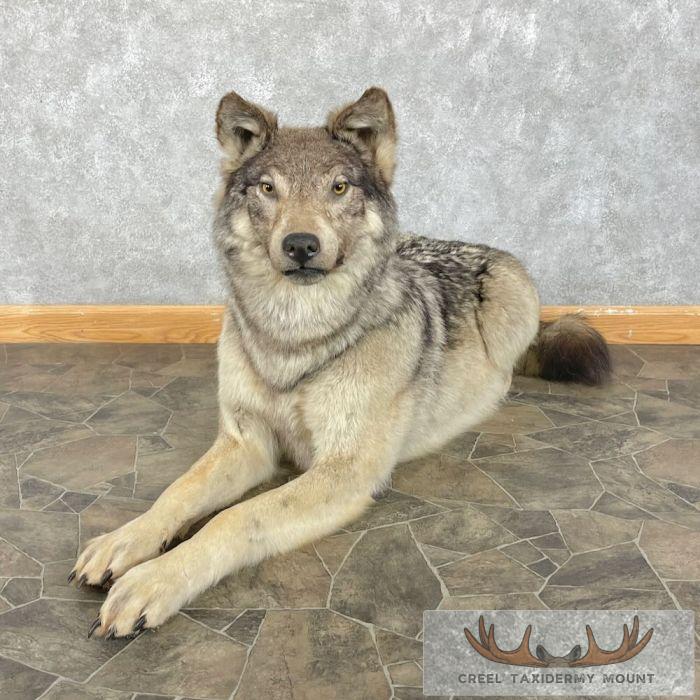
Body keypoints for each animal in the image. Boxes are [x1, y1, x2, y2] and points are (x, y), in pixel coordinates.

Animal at [70, 88, 610, 638]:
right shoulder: (247, 443)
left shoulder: (344, 470)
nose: (301, 245)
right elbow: (176, 494)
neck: (295, 341)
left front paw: (152, 581)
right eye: (268, 188)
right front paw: (124, 540)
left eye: (338, 186)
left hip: (507, 307)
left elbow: (235, 518)